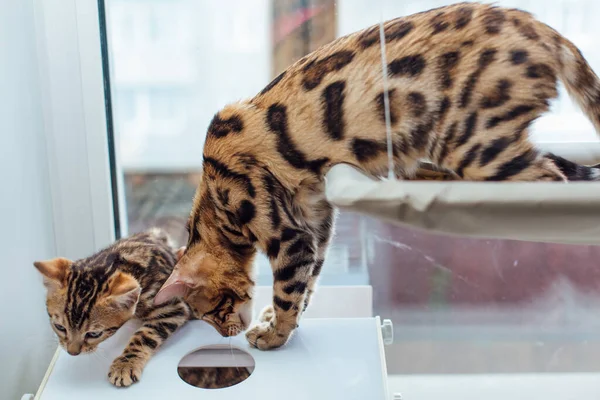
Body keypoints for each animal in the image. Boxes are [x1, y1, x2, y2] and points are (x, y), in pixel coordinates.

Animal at [34, 228, 192, 388]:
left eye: (94, 334)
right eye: (60, 327)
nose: (72, 352)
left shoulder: (171, 306)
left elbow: (144, 335)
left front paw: (125, 364)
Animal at [154, 2, 600, 350]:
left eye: (212, 311)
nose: (225, 333)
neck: (213, 202)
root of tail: (540, 28)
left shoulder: (287, 234)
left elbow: (287, 291)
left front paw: (273, 335)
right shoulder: (316, 222)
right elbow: (309, 283)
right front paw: (280, 322)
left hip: (475, 143)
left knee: (550, 181)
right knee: (561, 168)